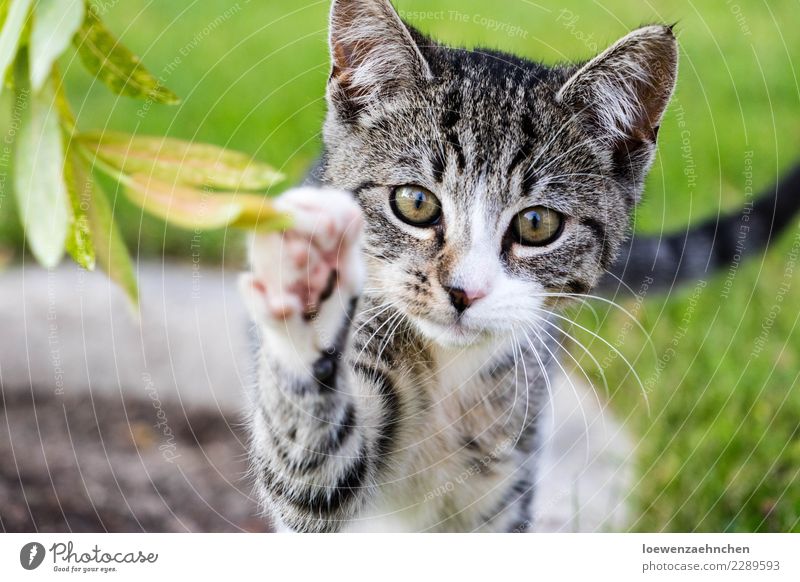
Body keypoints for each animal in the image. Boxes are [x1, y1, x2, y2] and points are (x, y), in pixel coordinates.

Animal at [238, 0, 800, 532]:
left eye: (536, 224)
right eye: (415, 203)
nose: (464, 291)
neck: (450, 374)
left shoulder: (510, 474)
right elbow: (311, 479)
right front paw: (309, 290)